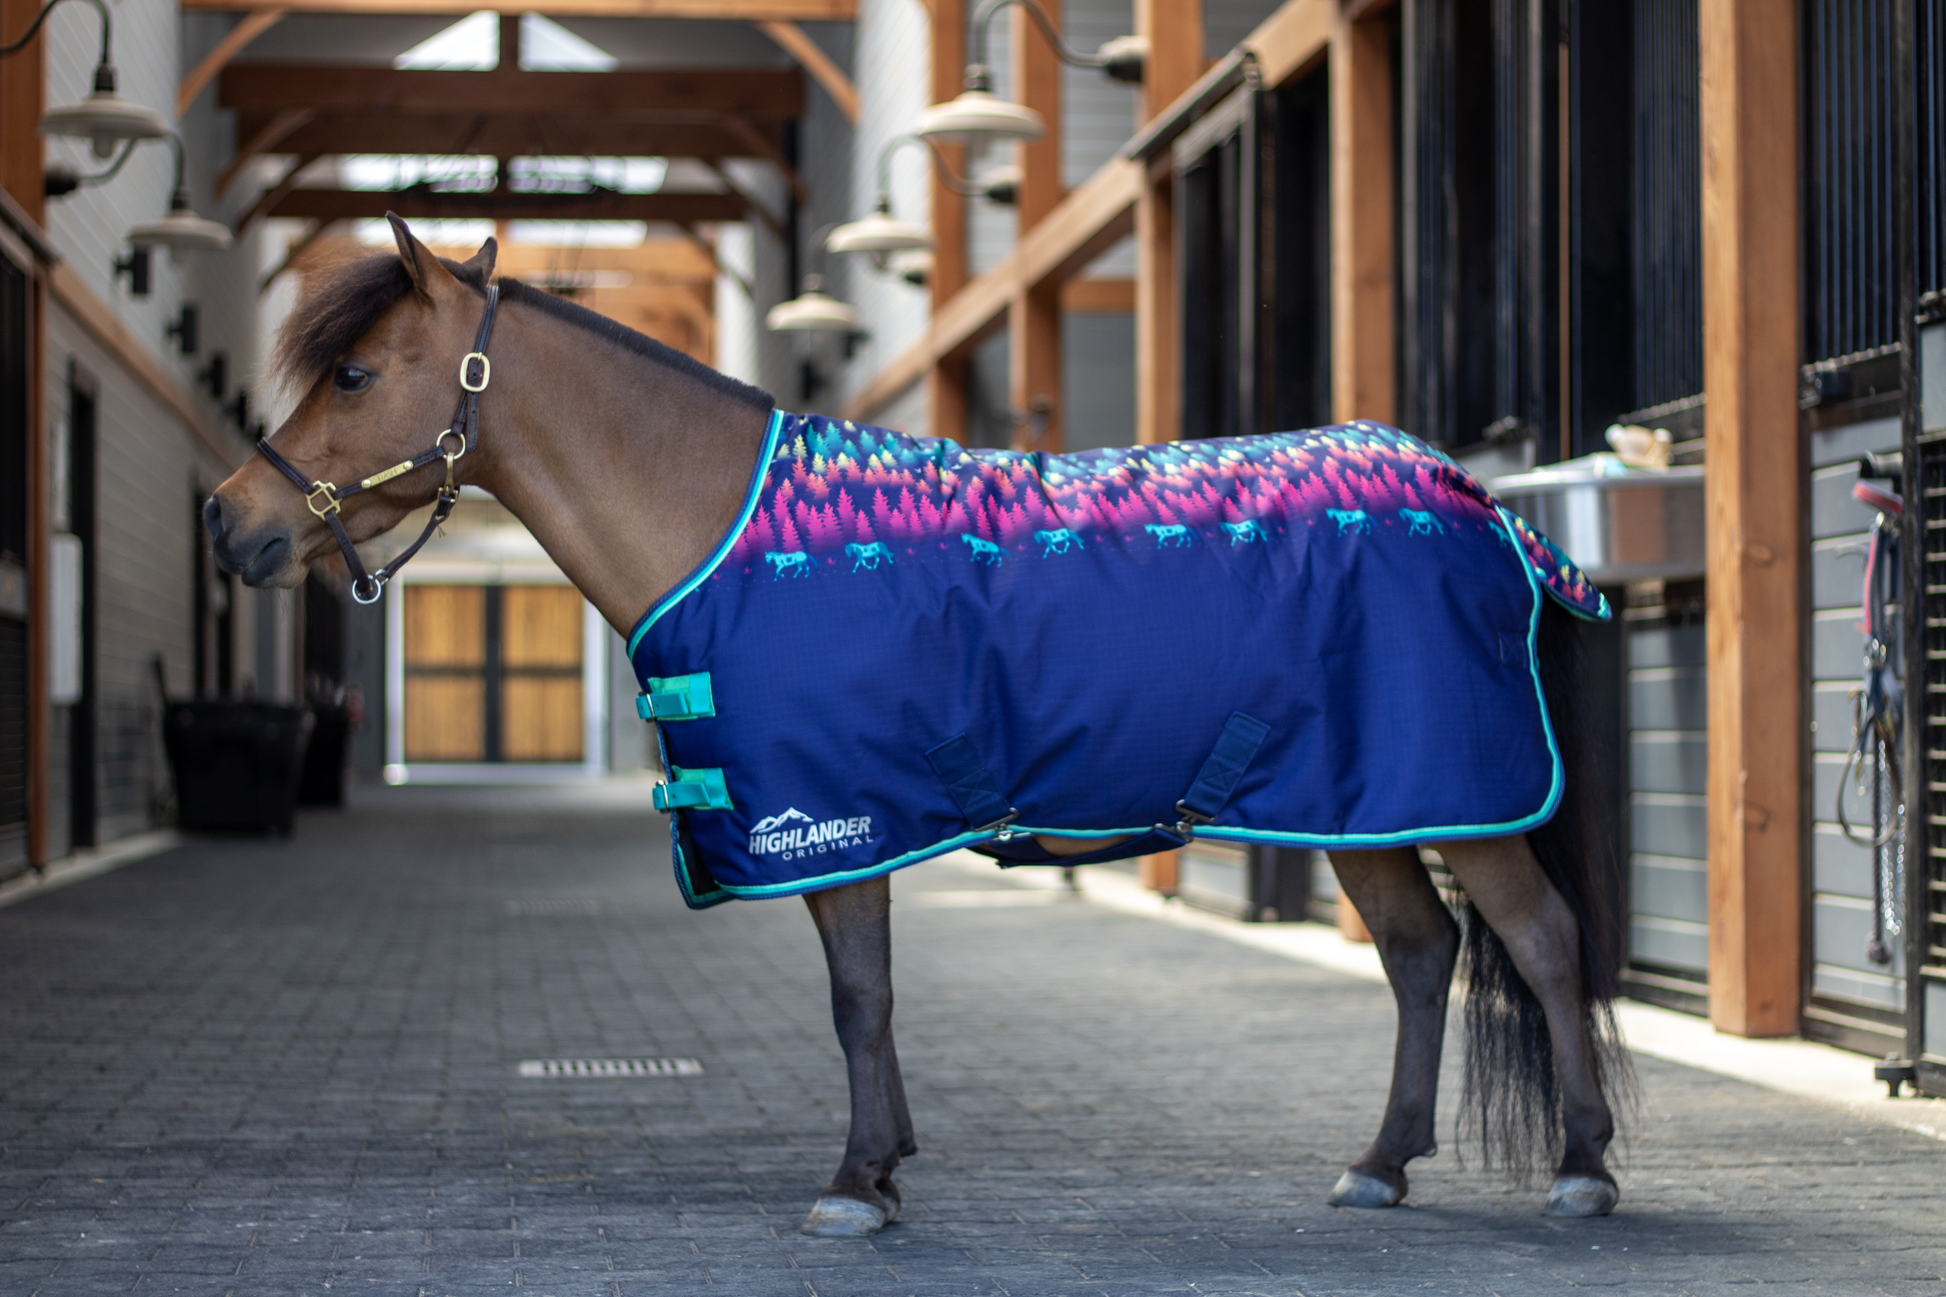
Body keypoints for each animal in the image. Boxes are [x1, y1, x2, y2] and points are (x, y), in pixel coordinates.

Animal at [204, 219, 1629, 1240]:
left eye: (352, 371)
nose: (229, 520)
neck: (723, 523)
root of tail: (1470, 497)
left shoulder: (841, 818)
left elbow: (858, 997)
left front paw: (853, 1181)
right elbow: (866, 999)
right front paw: (883, 1167)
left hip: (1445, 798)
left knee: (1540, 942)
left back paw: (1580, 1165)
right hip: (1361, 806)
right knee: (1418, 954)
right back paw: (1380, 1164)